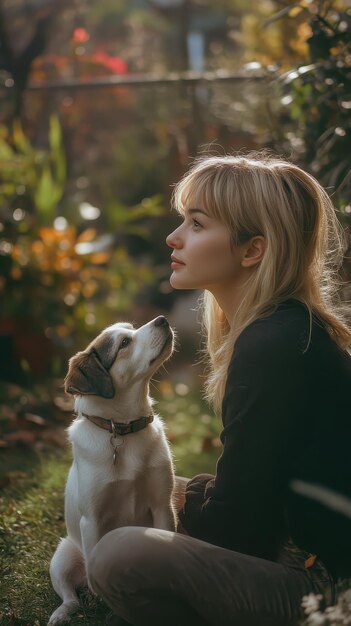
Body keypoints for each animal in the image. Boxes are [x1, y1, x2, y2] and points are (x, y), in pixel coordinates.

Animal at [48, 316, 177, 624]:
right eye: (124, 343)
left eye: (131, 328)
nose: (162, 319)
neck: (123, 429)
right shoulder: (91, 520)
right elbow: (96, 566)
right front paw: (105, 605)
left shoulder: (163, 506)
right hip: (62, 556)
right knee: (72, 595)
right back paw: (63, 612)